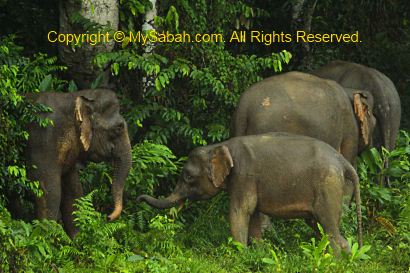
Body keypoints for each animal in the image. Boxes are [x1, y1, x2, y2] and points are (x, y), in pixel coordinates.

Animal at [25, 88, 131, 237]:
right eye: (119, 127)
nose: (108, 217)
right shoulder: (43, 140)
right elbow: (50, 192)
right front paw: (44, 239)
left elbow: (74, 192)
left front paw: (77, 240)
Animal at [138, 132, 362, 253]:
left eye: (188, 177)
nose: (139, 197)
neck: (221, 145)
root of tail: (344, 162)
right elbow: (253, 213)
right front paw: (258, 252)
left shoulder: (243, 176)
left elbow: (240, 211)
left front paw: (240, 253)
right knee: (320, 226)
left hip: (329, 187)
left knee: (330, 228)